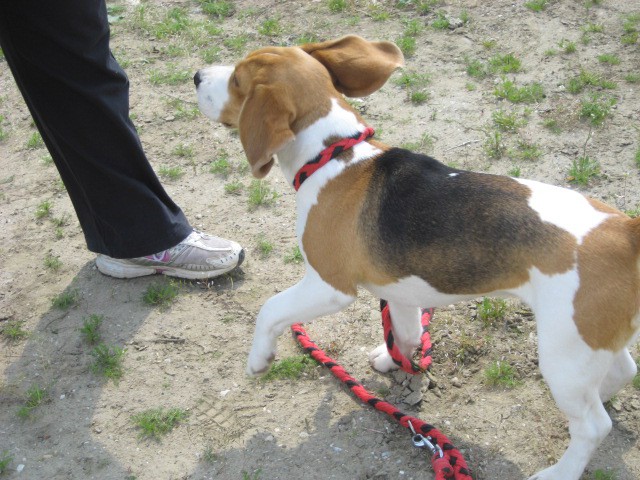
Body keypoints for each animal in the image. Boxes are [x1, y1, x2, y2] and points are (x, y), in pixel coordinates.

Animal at [196, 36, 640, 480]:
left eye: (237, 80)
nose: (197, 75)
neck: (333, 156)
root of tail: (625, 232)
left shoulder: (328, 286)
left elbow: (270, 308)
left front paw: (258, 359)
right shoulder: (401, 290)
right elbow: (405, 334)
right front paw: (394, 362)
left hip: (563, 348)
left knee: (593, 425)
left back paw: (559, 470)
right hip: (591, 339)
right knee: (620, 373)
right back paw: (600, 395)